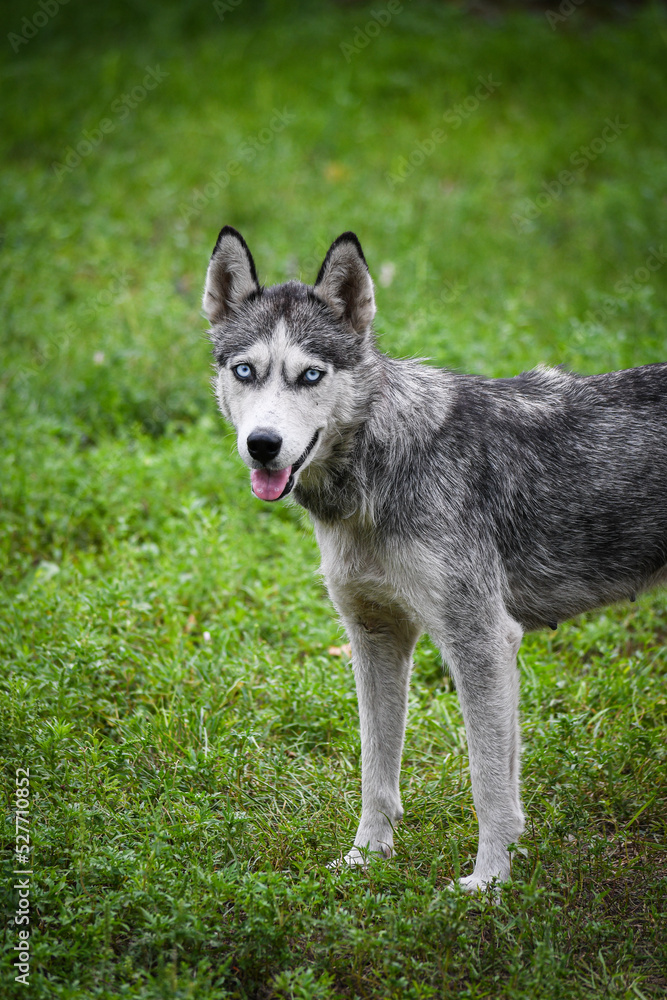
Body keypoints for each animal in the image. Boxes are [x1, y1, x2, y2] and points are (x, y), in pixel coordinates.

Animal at [202, 229, 667, 892]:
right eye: (246, 371)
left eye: (310, 375)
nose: (262, 445)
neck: (381, 468)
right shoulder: (376, 637)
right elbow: (376, 773)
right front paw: (366, 859)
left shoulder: (482, 640)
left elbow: (489, 784)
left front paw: (487, 884)